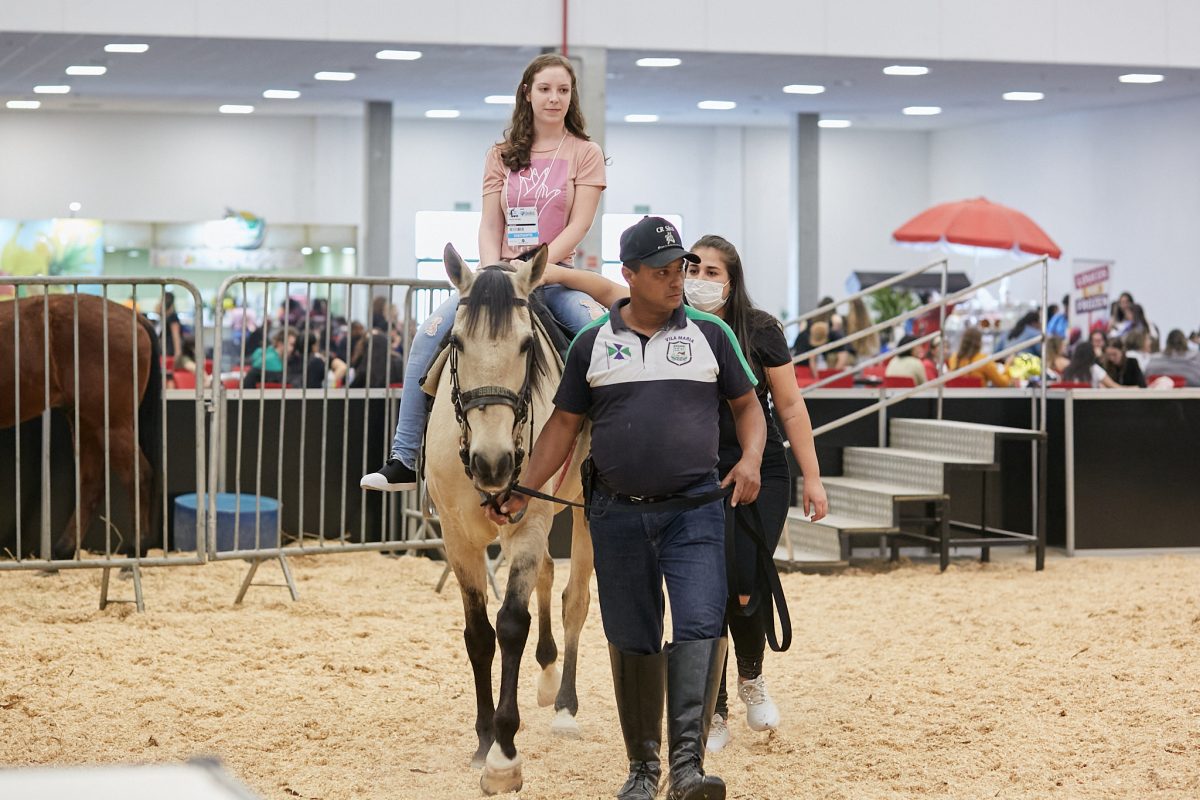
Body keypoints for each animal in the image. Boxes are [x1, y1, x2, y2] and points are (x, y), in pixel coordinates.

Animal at [0, 291, 162, 561]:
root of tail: (134, 318)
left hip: (110, 424)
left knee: (137, 475)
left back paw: (135, 551)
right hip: (85, 422)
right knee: (91, 484)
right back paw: (62, 550)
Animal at [427, 244, 595, 796]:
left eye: (526, 345)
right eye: (456, 342)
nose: (493, 462)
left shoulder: (529, 523)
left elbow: (512, 625)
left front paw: (504, 756)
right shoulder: (457, 537)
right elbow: (478, 634)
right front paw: (483, 742)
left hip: (583, 513)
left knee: (575, 600)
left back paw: (564, 707)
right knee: (546, 576)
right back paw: (546, 678)